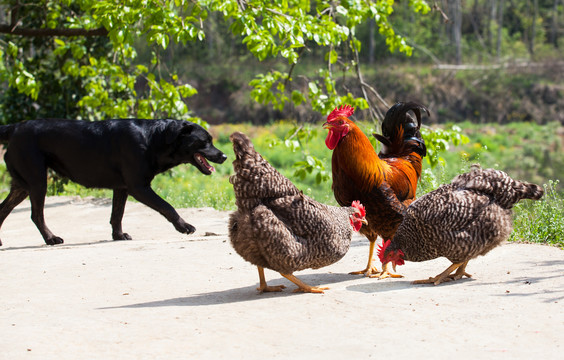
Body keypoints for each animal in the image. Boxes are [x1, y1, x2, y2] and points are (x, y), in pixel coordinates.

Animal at [0, 118, 227, 245]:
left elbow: (117, 214)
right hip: (37, 181)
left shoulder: (122, 187)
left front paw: (117, 235)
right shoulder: (138, 187)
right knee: (36, 215)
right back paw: (51, 239)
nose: (224, 156)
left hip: (22, 185)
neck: (154, 138)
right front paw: (184, 226)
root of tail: (14, 127)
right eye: (205, 141)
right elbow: (167, 206)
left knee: (3, 210)